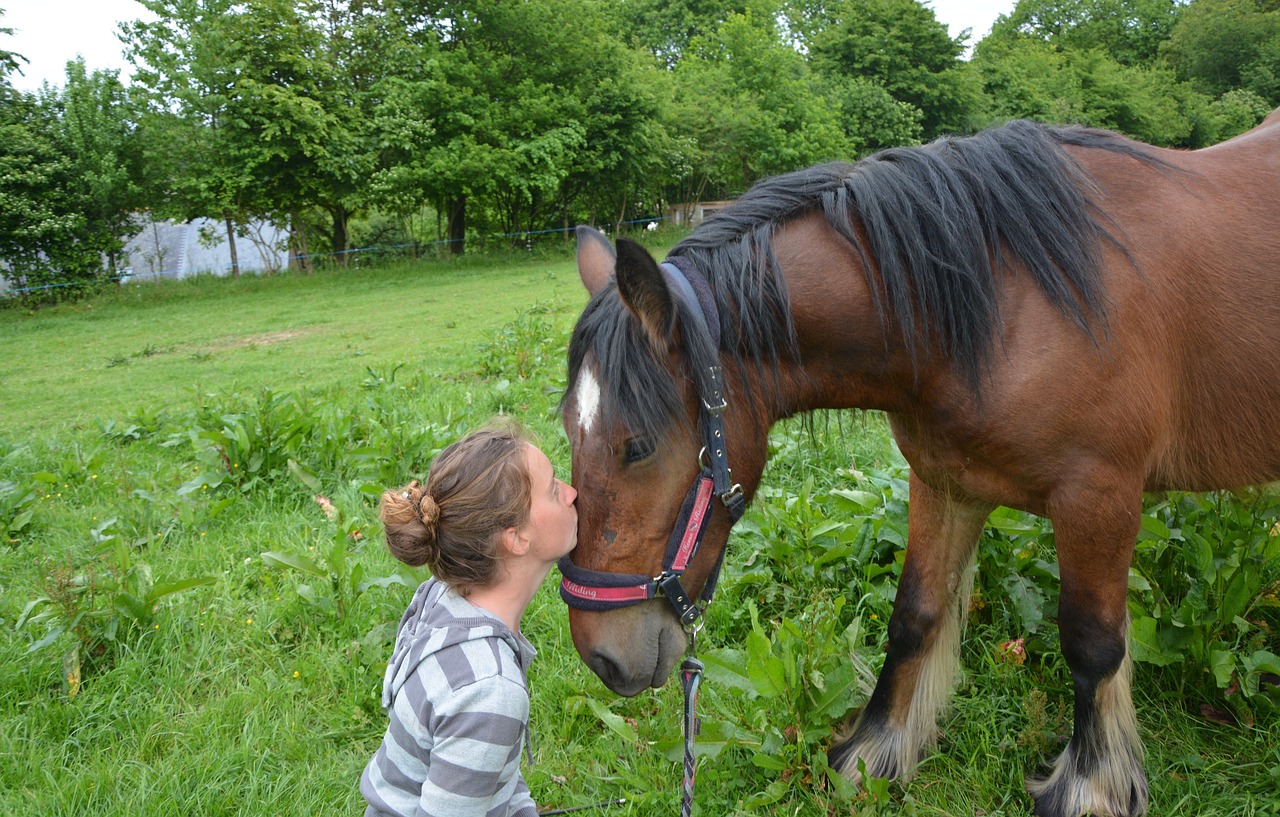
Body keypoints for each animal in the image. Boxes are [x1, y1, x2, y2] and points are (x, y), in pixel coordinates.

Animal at [555, 110, 1280, 817]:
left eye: (637, 445)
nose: (603, 656)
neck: (1007, 301)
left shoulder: (1099, 497)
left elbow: (1094, 641)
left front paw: (1091, 786)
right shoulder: (944, 483)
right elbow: (914, 616)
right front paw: (875, 752)